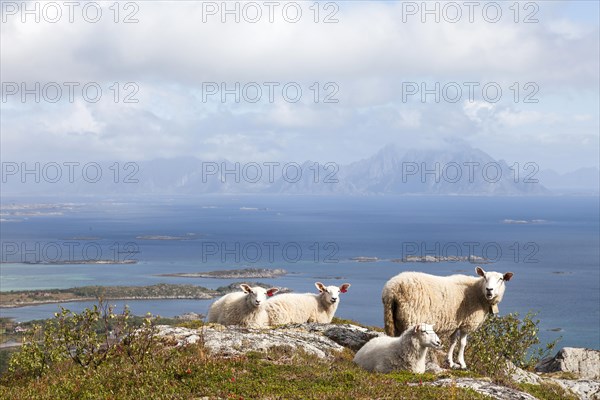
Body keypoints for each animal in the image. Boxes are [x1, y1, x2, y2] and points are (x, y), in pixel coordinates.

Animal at [382, 266, 512, 368]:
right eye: (485, 277)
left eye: (501, 279)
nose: (489, 290)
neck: (478, 293)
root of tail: (391, 290)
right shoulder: (467, 323)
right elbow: (463, 343)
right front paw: (462, 363)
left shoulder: (456, 323)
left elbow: (453, 342)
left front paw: (450, 362)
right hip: (411, 317)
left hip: (392, 319)